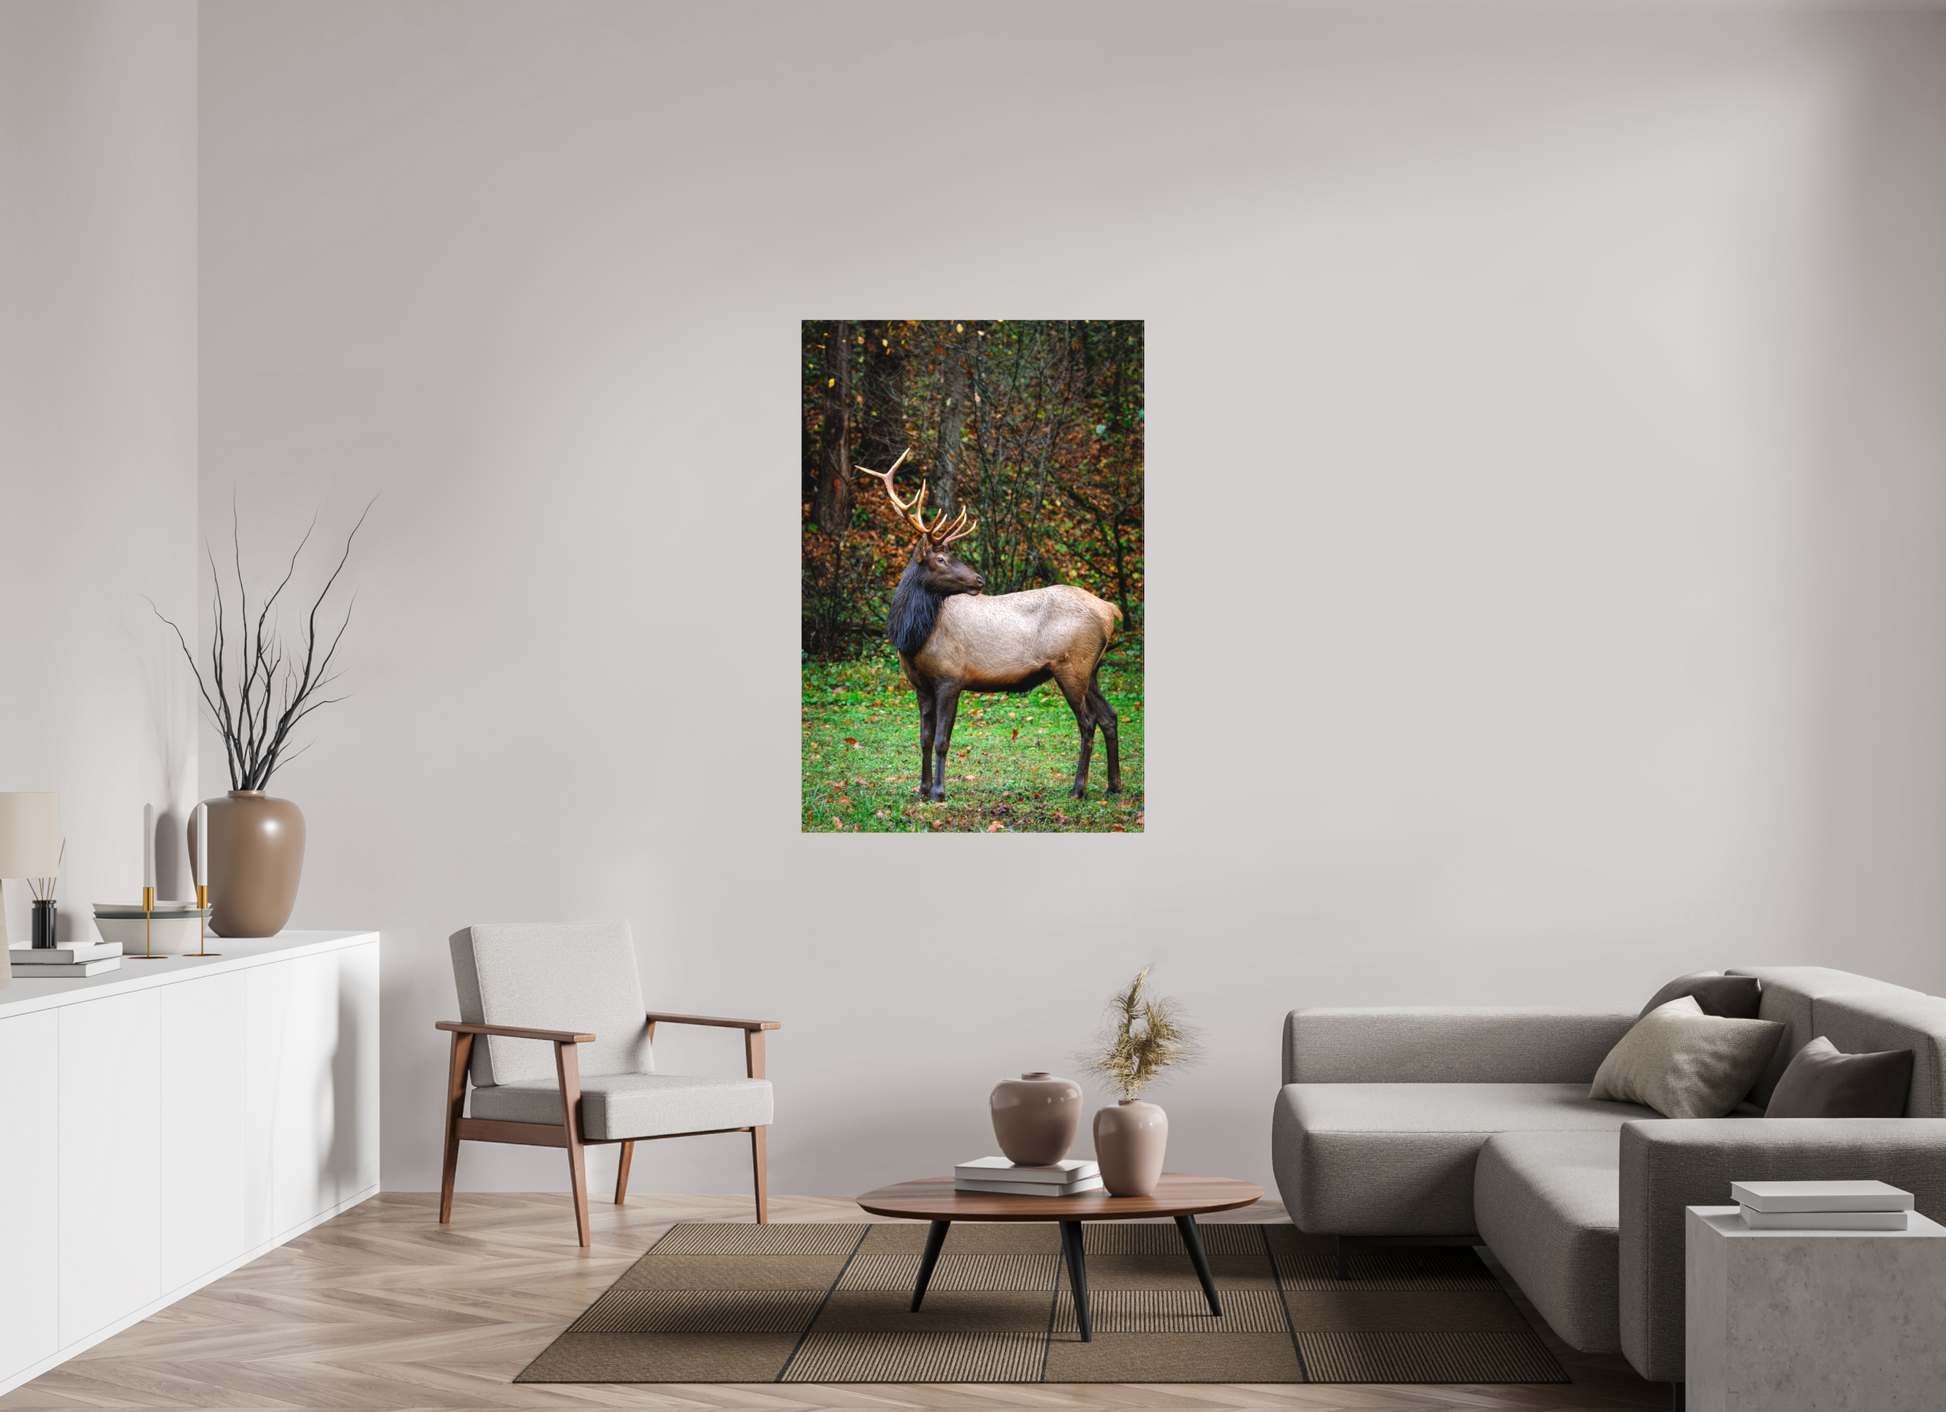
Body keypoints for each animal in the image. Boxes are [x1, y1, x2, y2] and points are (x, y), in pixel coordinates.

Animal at [860, 450, 1124, 804]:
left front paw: (939, 792)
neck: (913, 638)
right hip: (1092, 668)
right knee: (1110, 716)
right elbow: (924, 739)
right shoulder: (921, 685)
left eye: (950, 555)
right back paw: (1113, 785)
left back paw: (1077, 788)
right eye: (941, 559)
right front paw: (921, 790)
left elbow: (942, 739)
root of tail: (1110, 610)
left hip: (1071, 665)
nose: (979, 579)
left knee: (1088, 721)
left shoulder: (951, 677)